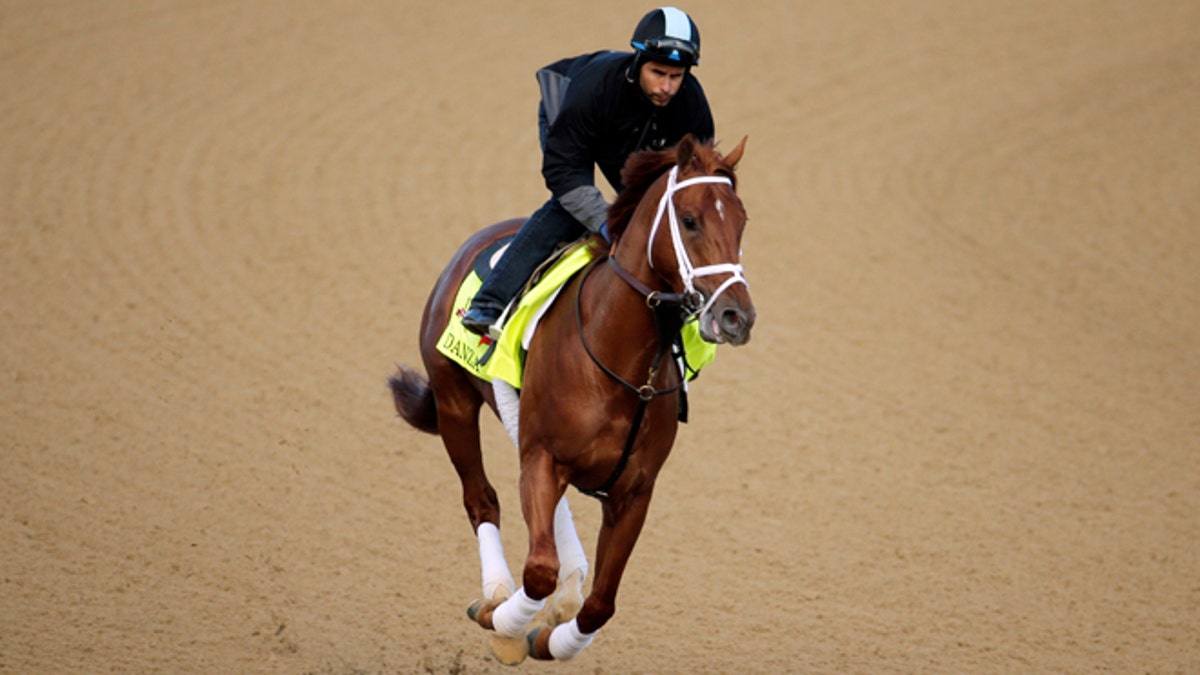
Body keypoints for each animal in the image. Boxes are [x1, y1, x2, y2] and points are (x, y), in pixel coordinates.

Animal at [388, 133, 754, 662]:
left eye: (742, 220)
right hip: (454, 400)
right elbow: (539, 570)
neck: (622, 363)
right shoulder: (543, 455)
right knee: (482, 500)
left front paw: (552, 635)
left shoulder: (633, 491)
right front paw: (505, 626)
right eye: (690, 220)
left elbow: (601, 602)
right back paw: (498, 593)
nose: (736, 316)